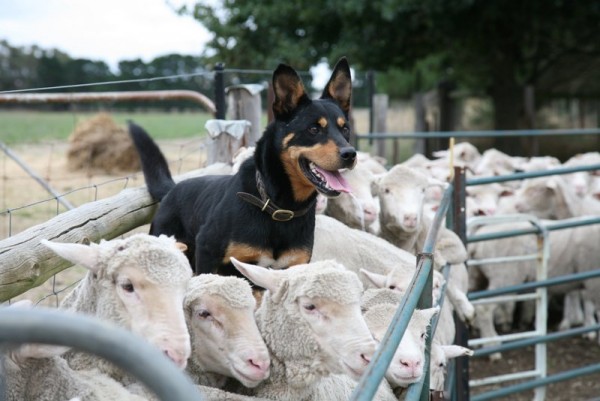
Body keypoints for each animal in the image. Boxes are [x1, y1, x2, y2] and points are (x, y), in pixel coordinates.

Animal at [130, 57, 356, 276]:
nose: (351, 154)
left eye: (345, 129)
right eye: (314, 129)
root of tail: (173, 189)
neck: (280, 207)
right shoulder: (207, 253)